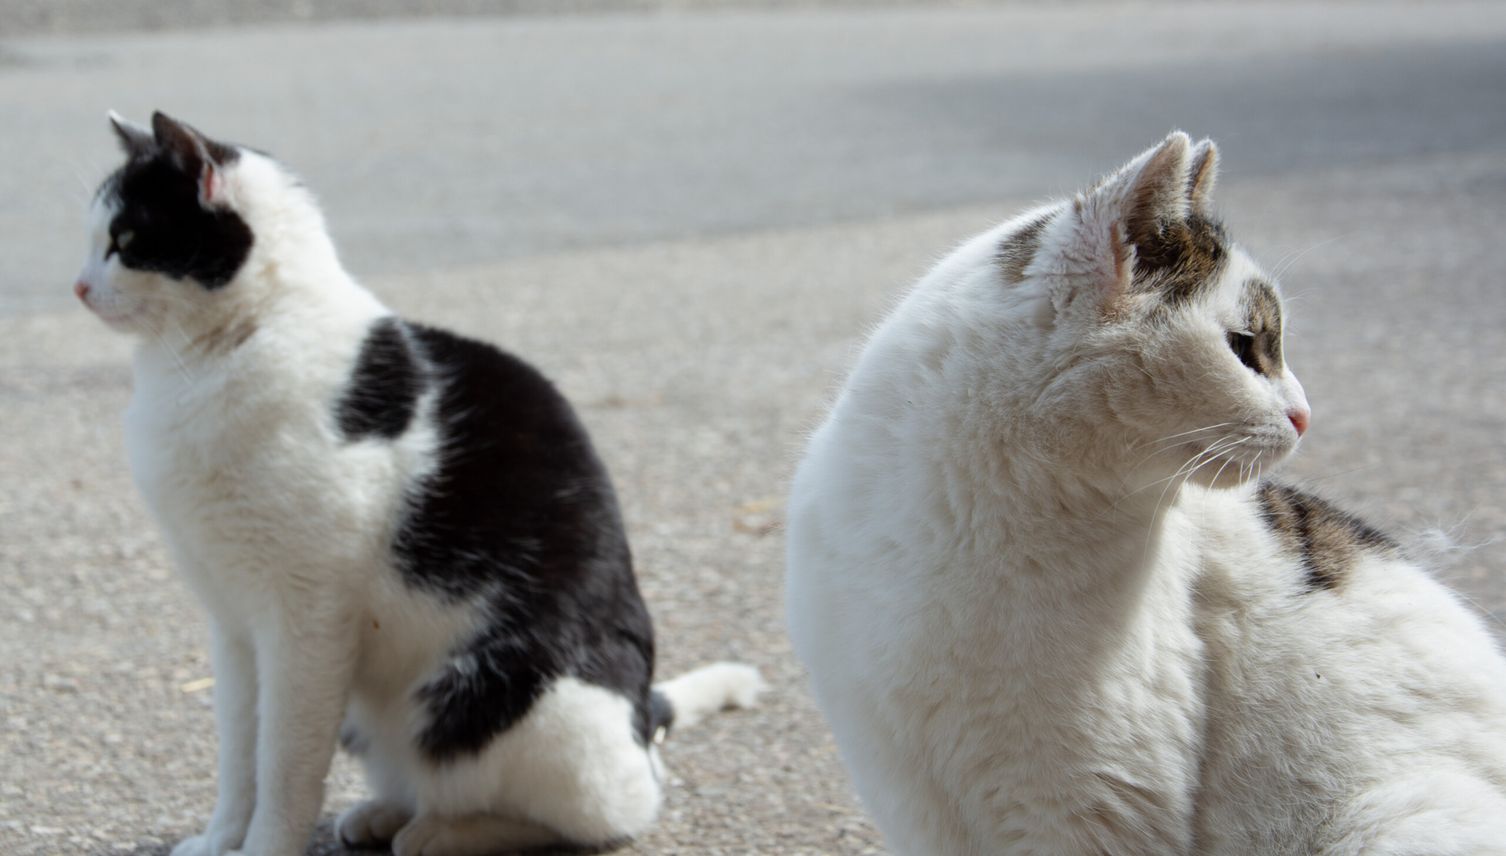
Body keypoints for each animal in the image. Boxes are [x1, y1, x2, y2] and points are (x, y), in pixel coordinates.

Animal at [77, 113, 765, 856]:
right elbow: (239, 753)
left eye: (125, 242)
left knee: (607, 811)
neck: (215, 354)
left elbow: (285, 761)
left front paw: (265, 848)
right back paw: (386, 814)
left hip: (504, 700)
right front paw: (220, 840)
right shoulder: (230, 622)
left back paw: (445, 832)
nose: (78, 288)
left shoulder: (306, 620)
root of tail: (641, 716)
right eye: (93, 239)